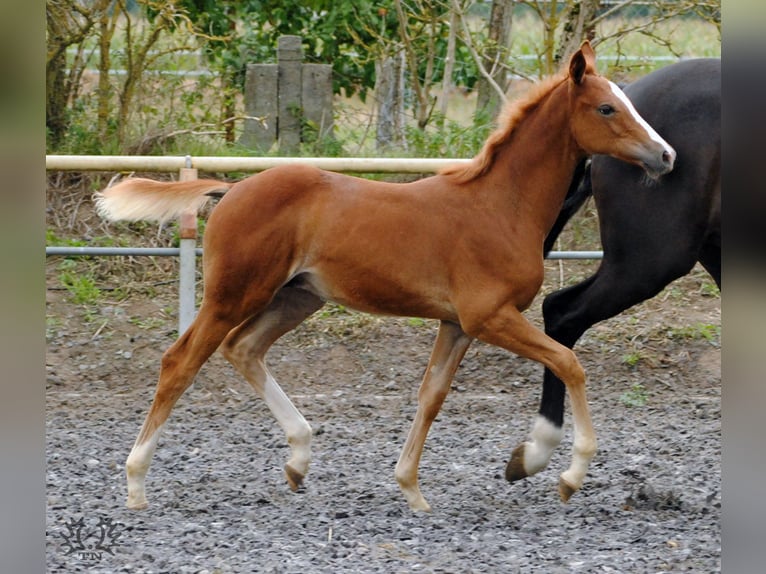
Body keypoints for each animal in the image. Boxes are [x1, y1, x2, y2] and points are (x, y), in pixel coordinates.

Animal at [96, 42, 680, 516]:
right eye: (606, 107)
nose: (666, 155)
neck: (499, 206)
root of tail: (231, 189)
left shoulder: (457, 324)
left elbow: (432, 395)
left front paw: (412, 489)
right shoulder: (488, 317)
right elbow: (569, 362)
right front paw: (566, 473)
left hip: (296, 298)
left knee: (244, 349)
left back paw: (299, 458)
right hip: (234, 293)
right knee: (181, 361)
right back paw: (136, 483)